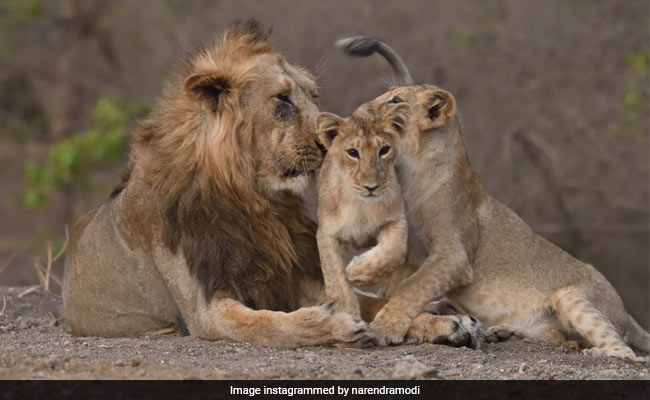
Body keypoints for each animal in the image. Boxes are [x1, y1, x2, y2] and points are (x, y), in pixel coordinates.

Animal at [314, 104, 410, 317]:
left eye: (384, 150)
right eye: (352, 152)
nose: (371, 187)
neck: (361, 207)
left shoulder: (395, 220)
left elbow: (395, 250)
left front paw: (357, 272)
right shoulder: (327, 233)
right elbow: (335, 276)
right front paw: (345, 313)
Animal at [337, 36, 650, 362]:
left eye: (396, 100)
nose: (359, 110)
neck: (410, 168)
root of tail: (626, 312)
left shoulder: (454, 256)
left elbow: (411, 289)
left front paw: (385, 327)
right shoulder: (406, 250)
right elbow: (394, 275)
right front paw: (359, 271)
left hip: (572, 297)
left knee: (627, 351)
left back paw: (597, 353)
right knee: (563, 338)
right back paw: (504, 332)